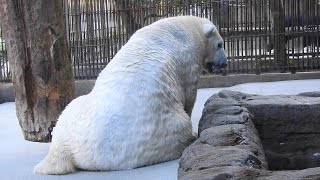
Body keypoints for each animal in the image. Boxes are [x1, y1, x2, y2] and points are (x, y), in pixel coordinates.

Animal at [33, 15, 228, 174]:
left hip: (73, 114)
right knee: (180, 127)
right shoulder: (187, 61)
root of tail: (68, 151)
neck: (182, 30)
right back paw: (192, 136)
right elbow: (189, 95)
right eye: (220, 44)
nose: (224, 64)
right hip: (159, 130)